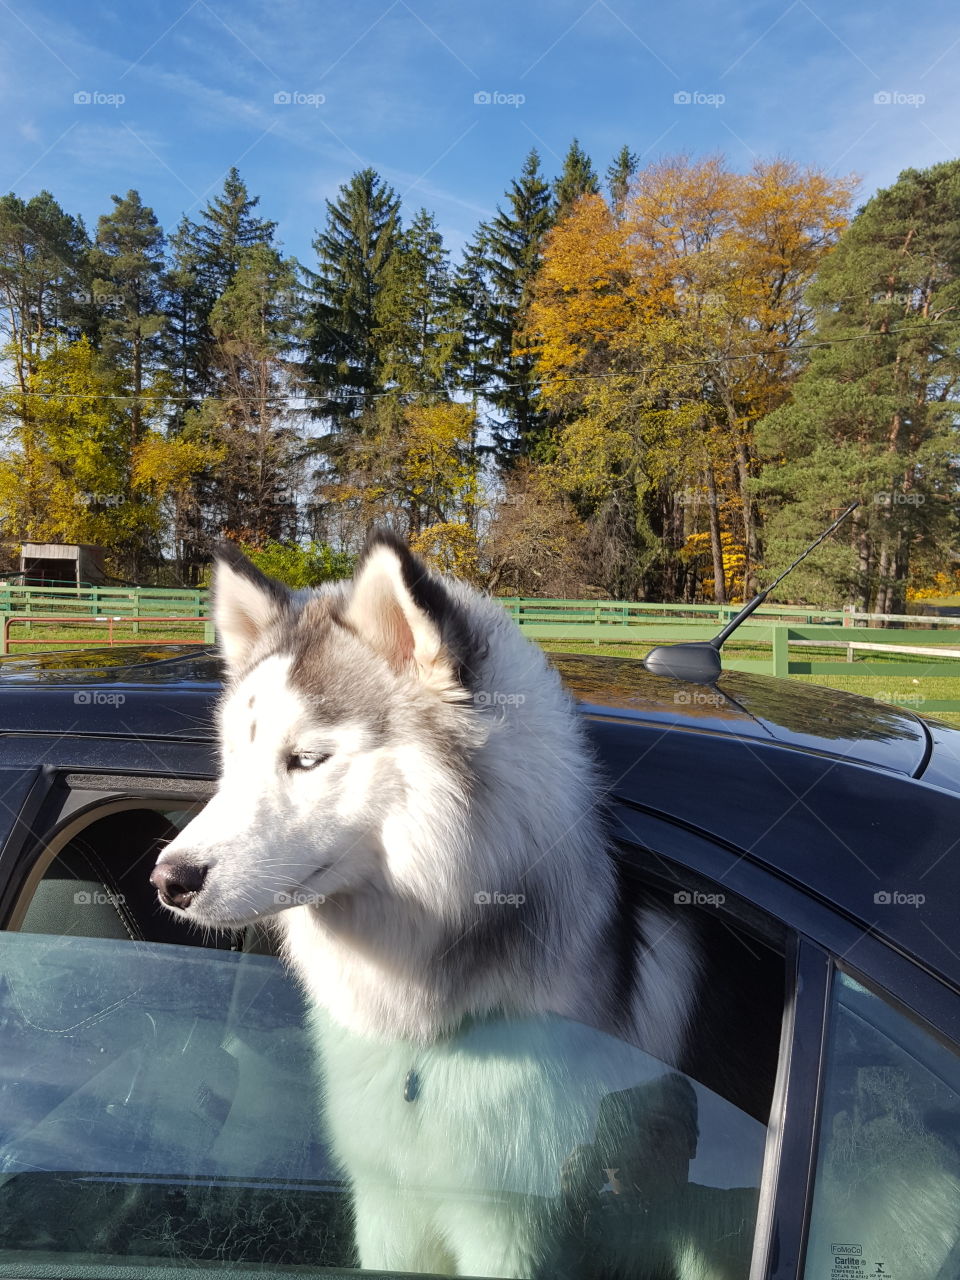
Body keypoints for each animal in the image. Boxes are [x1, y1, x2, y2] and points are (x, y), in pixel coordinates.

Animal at [152, 535, 706, 1274]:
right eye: (234, 760)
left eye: (307, 759)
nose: (168, 879)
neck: (426, 1036)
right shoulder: (388, 1206)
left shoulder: (507, 1229)